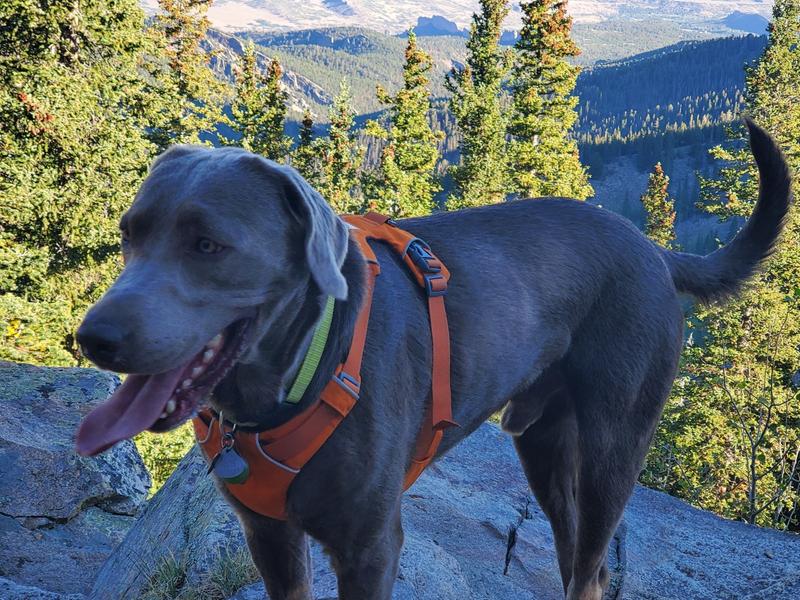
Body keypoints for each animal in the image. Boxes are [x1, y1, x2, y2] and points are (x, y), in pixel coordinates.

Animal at [78, 118, 792, 600]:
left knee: (590, 562)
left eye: (208, 244)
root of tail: (652, 249)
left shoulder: (369, 546)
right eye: (129, 233)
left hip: (614, 447)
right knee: (579, 566)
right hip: (543, 443)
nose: (93, 338)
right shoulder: (269, 537)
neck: (297, 376)